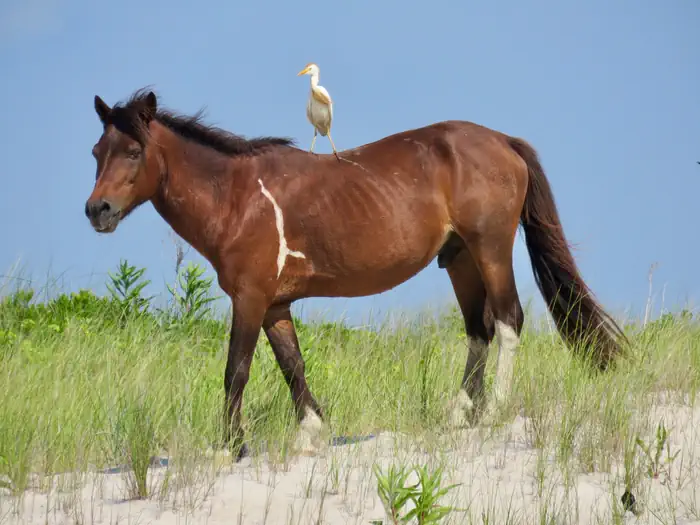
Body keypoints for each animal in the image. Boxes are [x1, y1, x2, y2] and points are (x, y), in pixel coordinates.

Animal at [84, 88, 627, 459]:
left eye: (133, 151)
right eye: (96, 152)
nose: (97, 211)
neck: (238, 197)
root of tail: (501, 141)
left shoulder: (250, 298)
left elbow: (235, 370)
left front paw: (228, 447)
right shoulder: (274, 305)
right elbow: (292, 365)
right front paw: (311, 432)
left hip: (490, 249)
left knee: (509, 322)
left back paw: (493, 409)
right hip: (460, 260)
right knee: (480, 330)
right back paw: (459, 415)